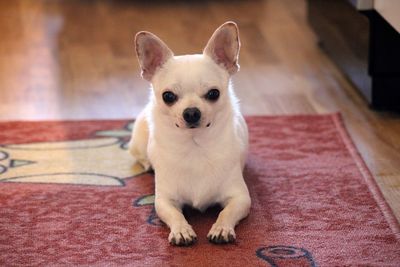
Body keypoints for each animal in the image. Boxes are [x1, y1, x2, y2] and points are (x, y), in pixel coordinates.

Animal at [130, 21, 250, 247]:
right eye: (168, 96)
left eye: (214, 93)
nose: (192, 112)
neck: (195, 147)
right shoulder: (164, 201)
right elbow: (175, 214)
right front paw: (181, 230)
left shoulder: (240, 197)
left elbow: (227, 212)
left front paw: (221, 228)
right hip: (139, 140)